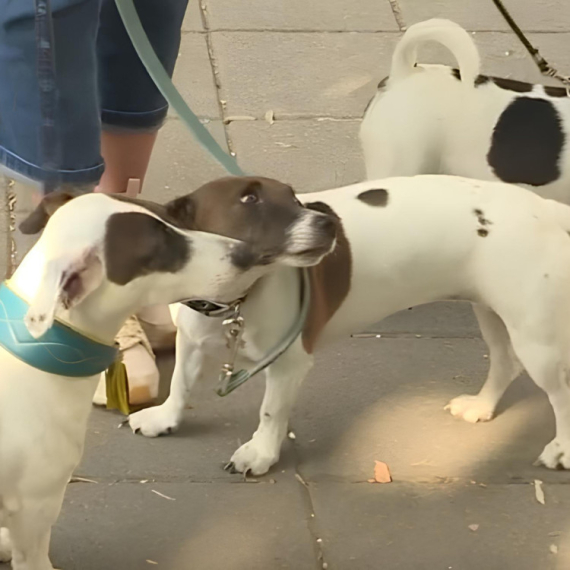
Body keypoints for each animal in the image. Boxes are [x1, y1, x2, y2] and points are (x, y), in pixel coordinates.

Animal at [129, 174, 570, 474]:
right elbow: (180, 383)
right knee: (505, 361)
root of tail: (547, 210)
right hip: (493, 312)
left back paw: (561, 450)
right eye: (249, 198)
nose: (328, 225)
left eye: (293, 197)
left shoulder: (289, 365)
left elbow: (271, 411)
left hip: (537, 339)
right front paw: (165, 419)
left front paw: (260, 453)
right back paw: (481, 406)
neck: (234, 299)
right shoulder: (191, 340)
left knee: (560, 394)